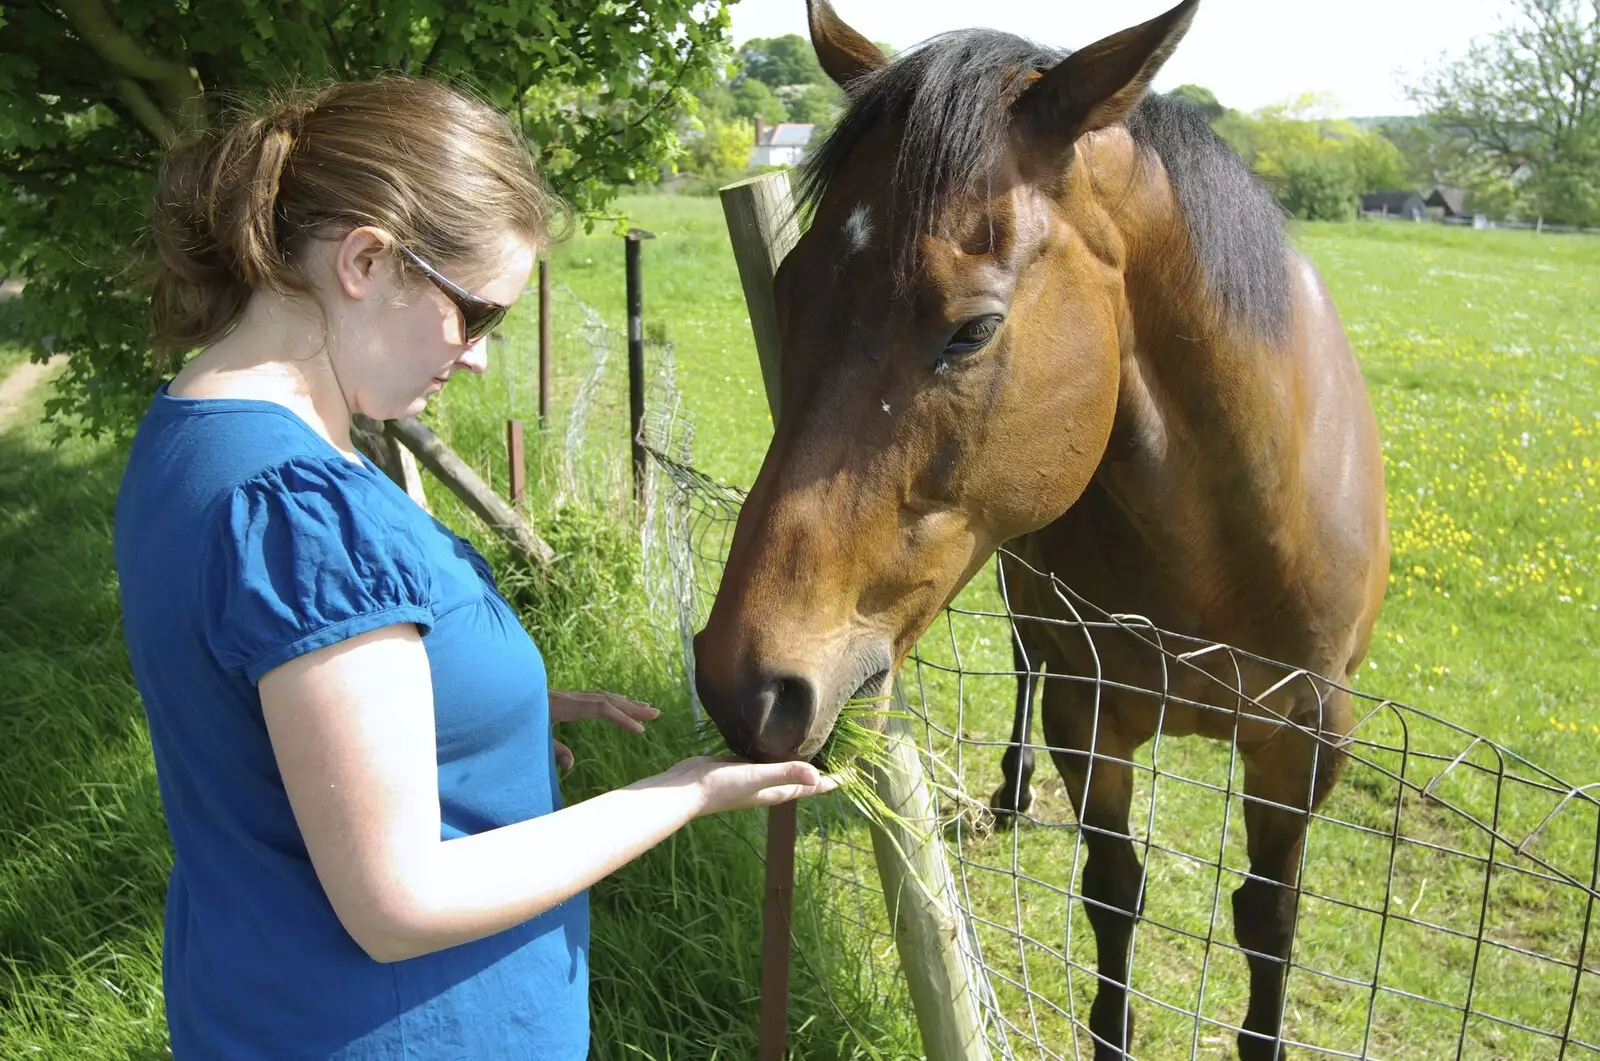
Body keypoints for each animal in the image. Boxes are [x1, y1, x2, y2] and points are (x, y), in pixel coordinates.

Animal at [697, 4, 1388, 1056]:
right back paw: (1012, 791)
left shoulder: (1307, 743)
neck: (1228, 548)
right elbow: (1114, 892)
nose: (744, 682)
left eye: (973, 329)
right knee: (1023, 664)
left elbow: (1269, 922)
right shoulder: (1088, 711)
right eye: (790, 287)